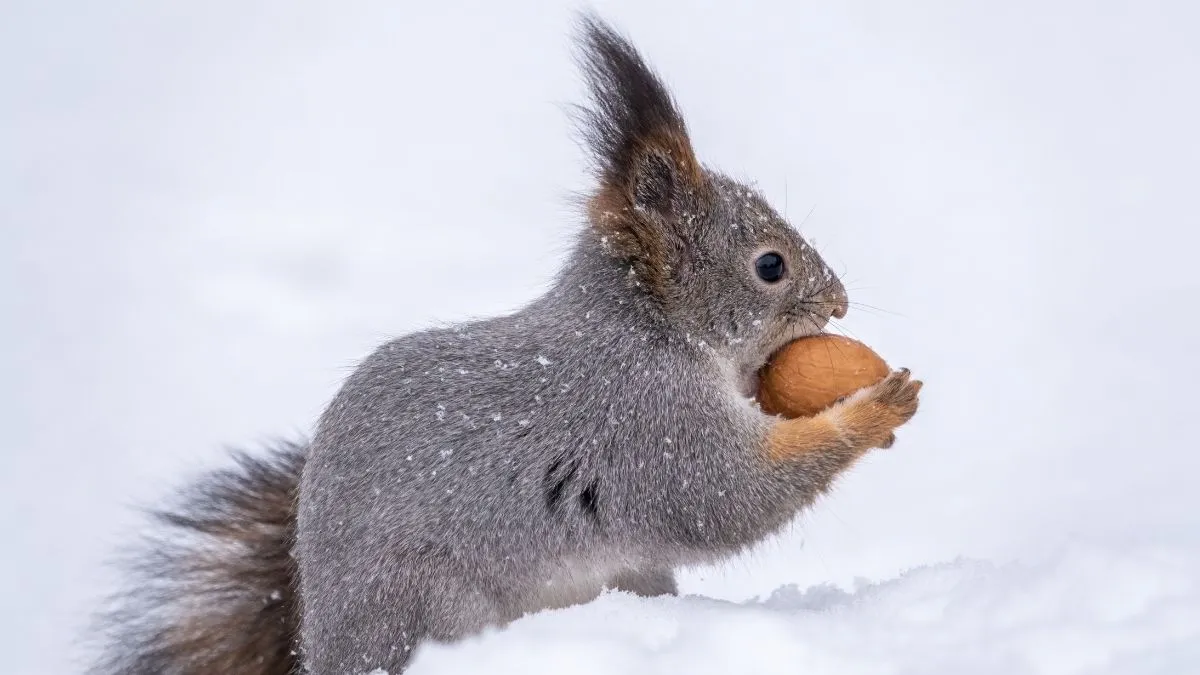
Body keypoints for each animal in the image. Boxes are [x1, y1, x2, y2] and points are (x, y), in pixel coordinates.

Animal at [87, 13, 922, 675]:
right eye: (769, 267)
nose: (840, 301)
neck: (646, 325)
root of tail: (323, 645)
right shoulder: (640, 417)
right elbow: (721, 496)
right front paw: (873, 408)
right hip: (435, 603)